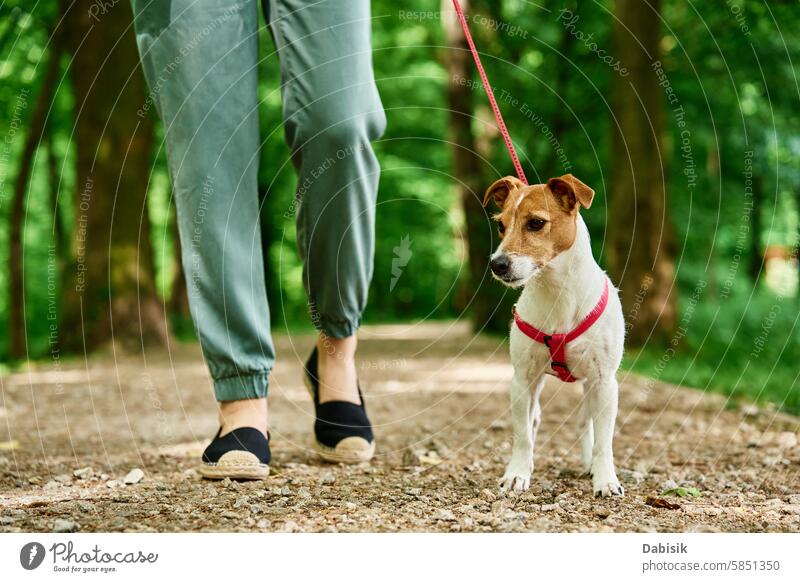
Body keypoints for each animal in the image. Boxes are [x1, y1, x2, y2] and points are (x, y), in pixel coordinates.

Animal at [484, 173, 628, 498]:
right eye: (501, 225)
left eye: (536, 223)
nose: (497, 264)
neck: (557, 292)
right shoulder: (522, 378)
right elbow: (522, 434)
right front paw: (517, 474)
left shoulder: (605, 382)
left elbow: (604, 441)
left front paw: (605, 479)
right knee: (534, 419)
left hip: (591, 386)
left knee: (586, 423)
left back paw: (589, 465)